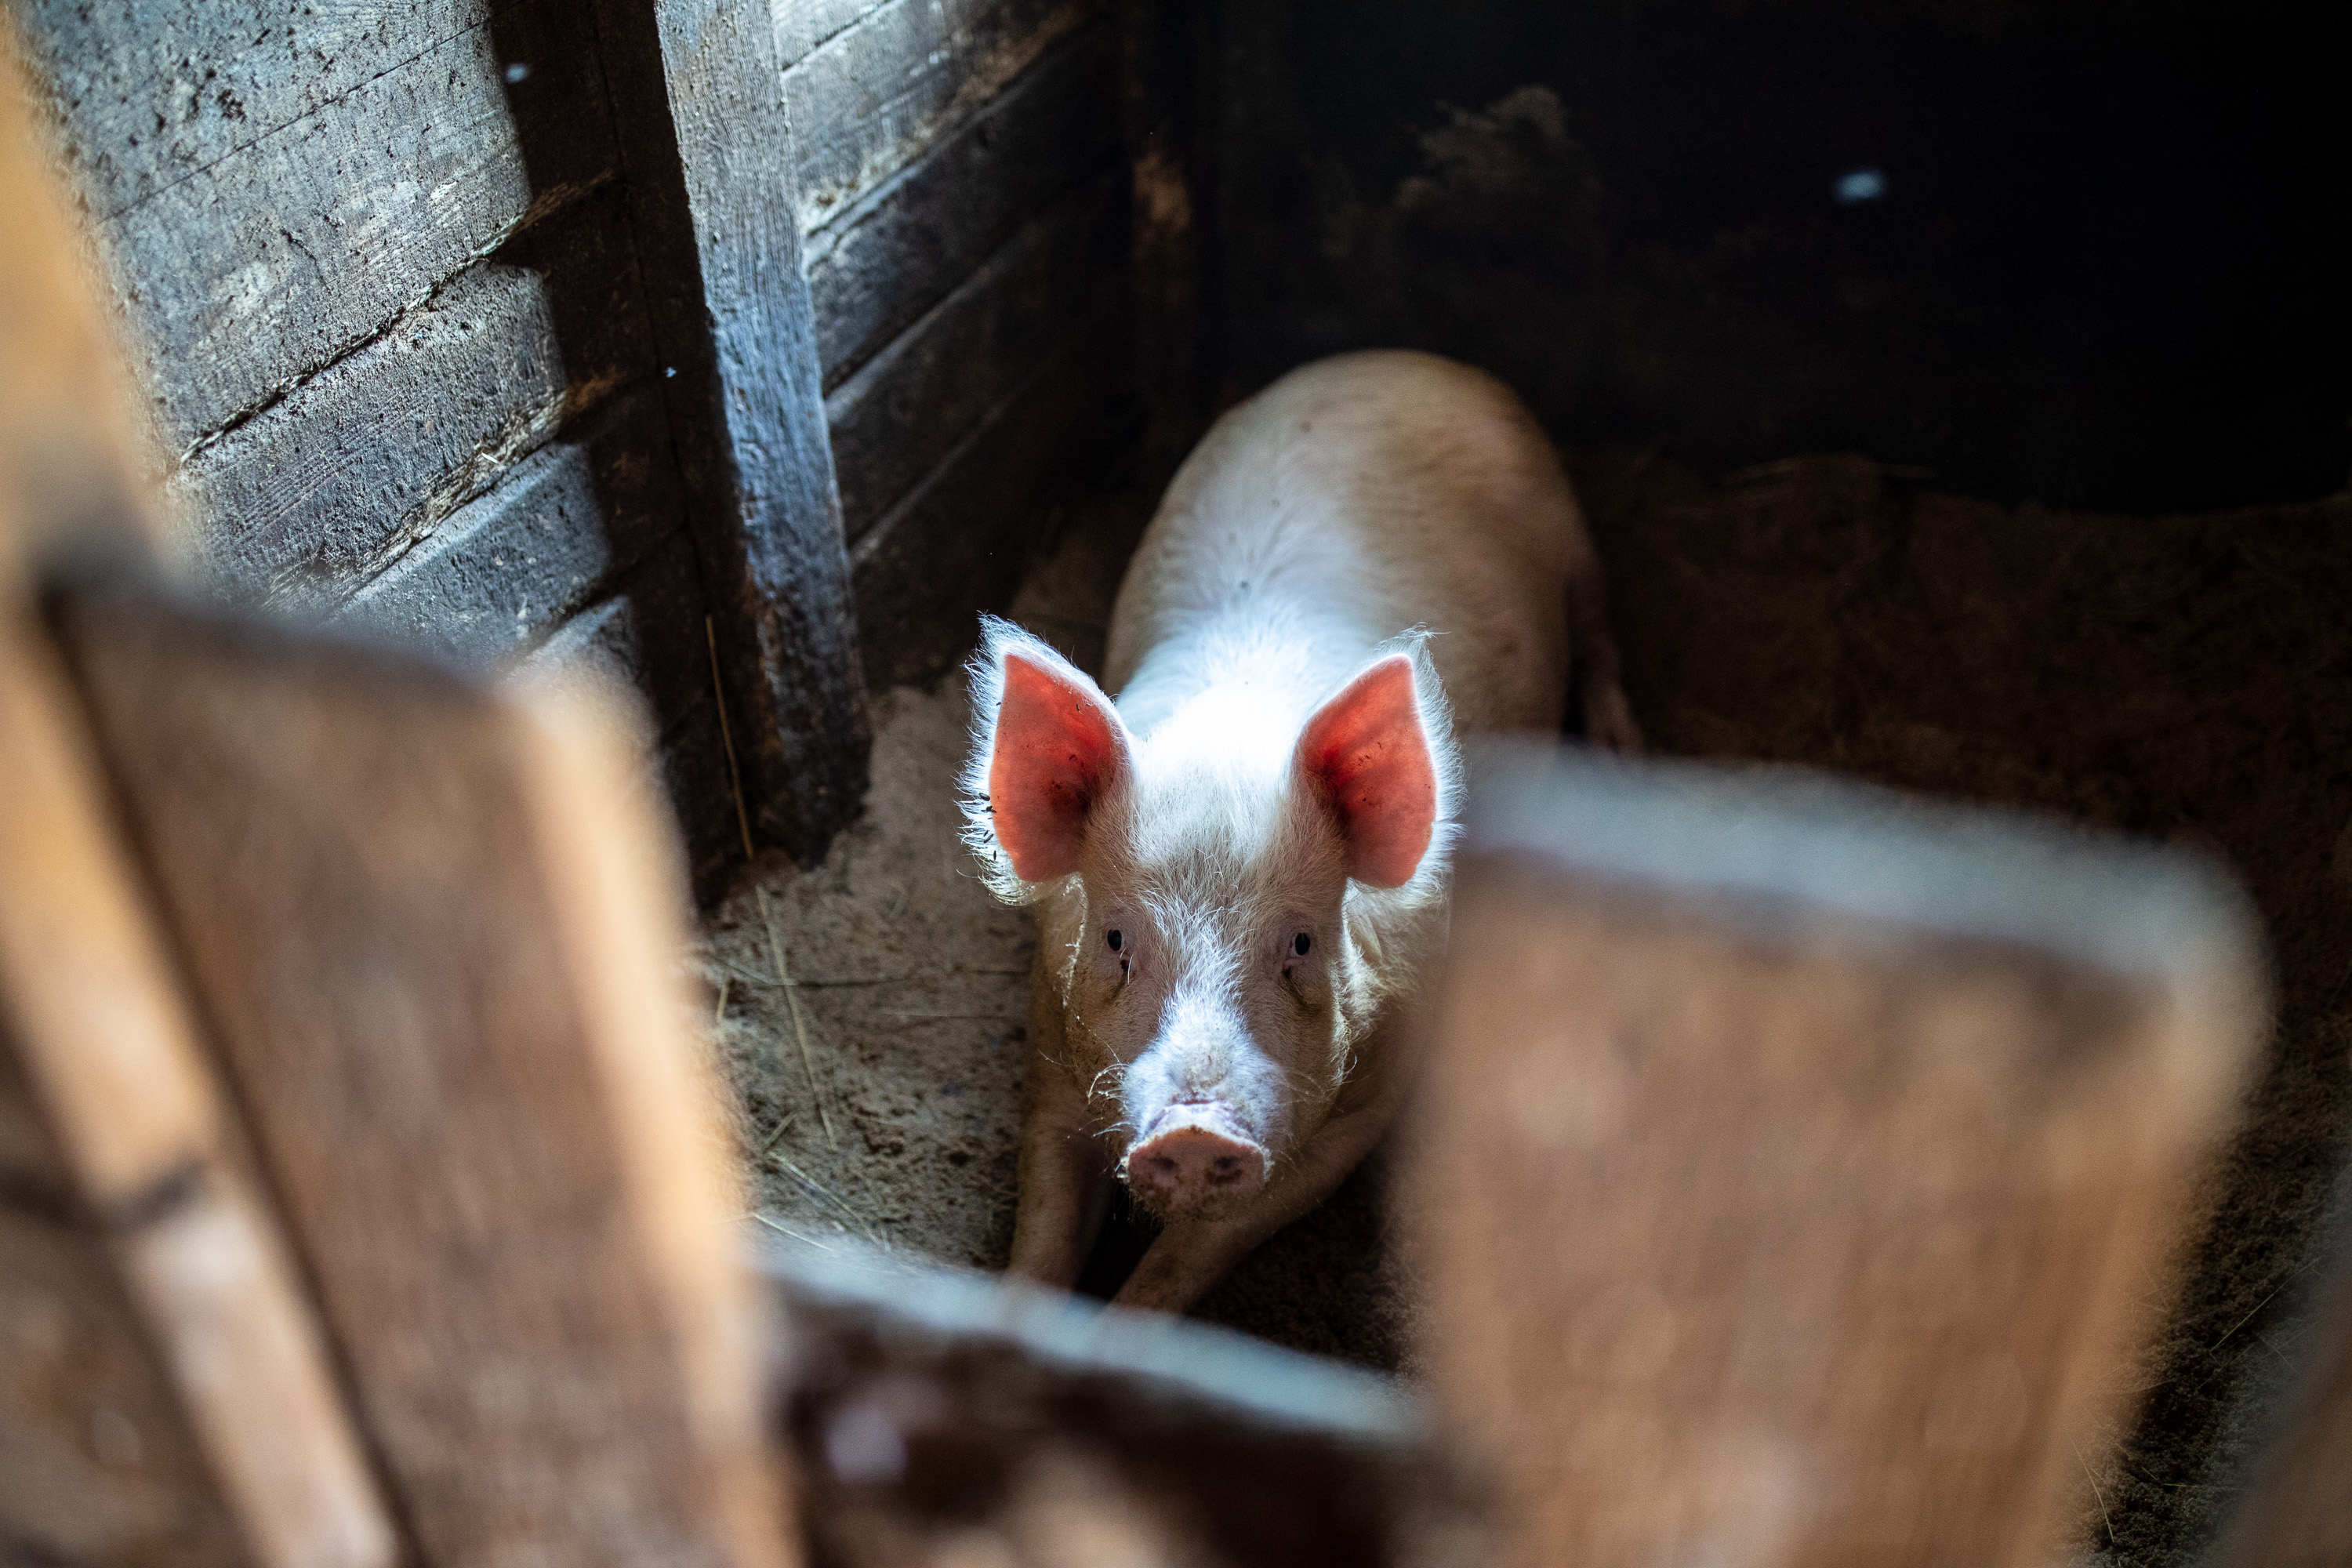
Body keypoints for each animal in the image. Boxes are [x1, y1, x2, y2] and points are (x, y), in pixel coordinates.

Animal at [955, 352, 1637, 1316]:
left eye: (1303, 942)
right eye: (1118, 938)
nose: (1196, 1129)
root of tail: (1408, 359)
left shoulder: (1360, 1113)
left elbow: (1188, 1258)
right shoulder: (1048, 1058)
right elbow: (1042, 1235)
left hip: (1576, 547)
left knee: (1602, 638)